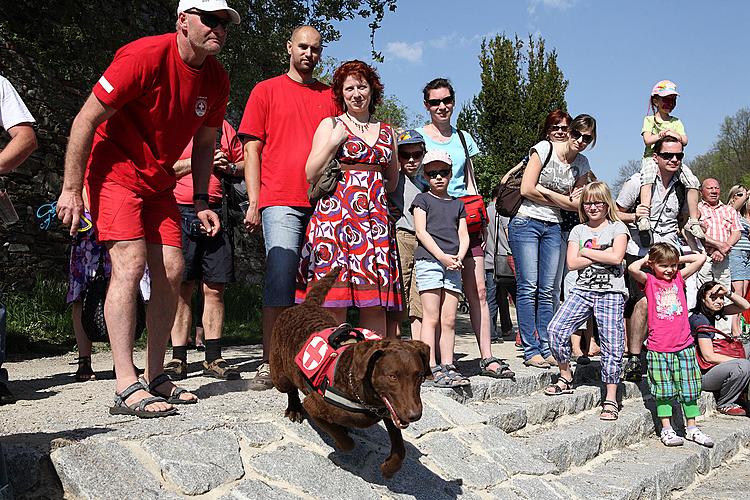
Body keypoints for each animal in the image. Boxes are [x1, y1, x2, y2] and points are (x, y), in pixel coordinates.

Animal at [272, 268, 432, 478]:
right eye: (392, 377)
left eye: (419, 376)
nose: (415, 415)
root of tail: (306, 304)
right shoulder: (314, 405)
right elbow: (346, 442)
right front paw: (341, 443)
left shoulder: (389, 411)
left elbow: (400, 447)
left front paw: (389, 468)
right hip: (279, 375)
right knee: (289, 388)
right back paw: (294, 409)